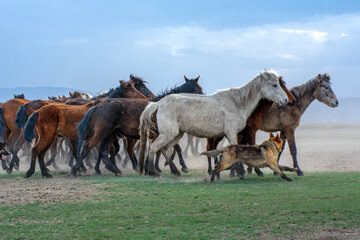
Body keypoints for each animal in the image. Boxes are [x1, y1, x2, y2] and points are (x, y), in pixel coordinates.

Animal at [74, 77, 204, 176]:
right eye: (199, 89)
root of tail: (98, 106)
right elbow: (171, 148)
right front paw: (180, 167)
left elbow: (165, 149)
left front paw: (151, 168)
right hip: (103, 133)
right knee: (88, 147)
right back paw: (77, 169)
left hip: (110, 135)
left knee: (105, 151)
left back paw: (114, 169)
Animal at [139, 70, 288, 177]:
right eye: (274, 85)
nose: (286, 100)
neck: (237, 103)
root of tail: (158, 103)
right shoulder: (231, 133)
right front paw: (240, 173)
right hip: (168, 135)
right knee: (153, 148)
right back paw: (153, 172)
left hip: (177, 135)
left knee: (166, 150)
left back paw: (176, 172)